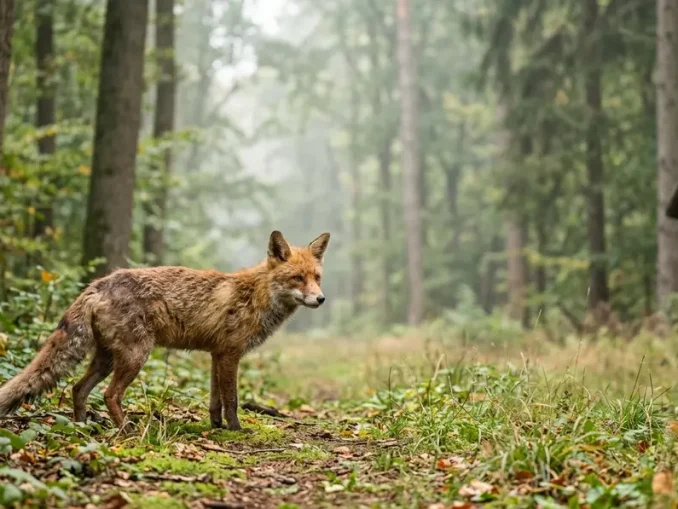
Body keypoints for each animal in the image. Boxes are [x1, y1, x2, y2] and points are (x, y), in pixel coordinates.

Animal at [0, 230, 330, 432]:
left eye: (317, 277)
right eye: (297, 278)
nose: (321, 299)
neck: (256, 295)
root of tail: (98, 284)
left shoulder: (216, 354)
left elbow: (215, 401)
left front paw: (216, 428)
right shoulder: (230, 354)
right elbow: (232, 400)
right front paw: (236, 430)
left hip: (106, 359)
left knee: (78, 389)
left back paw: (82, 428)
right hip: (135, 357)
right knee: (109, 395)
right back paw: (126, 431)